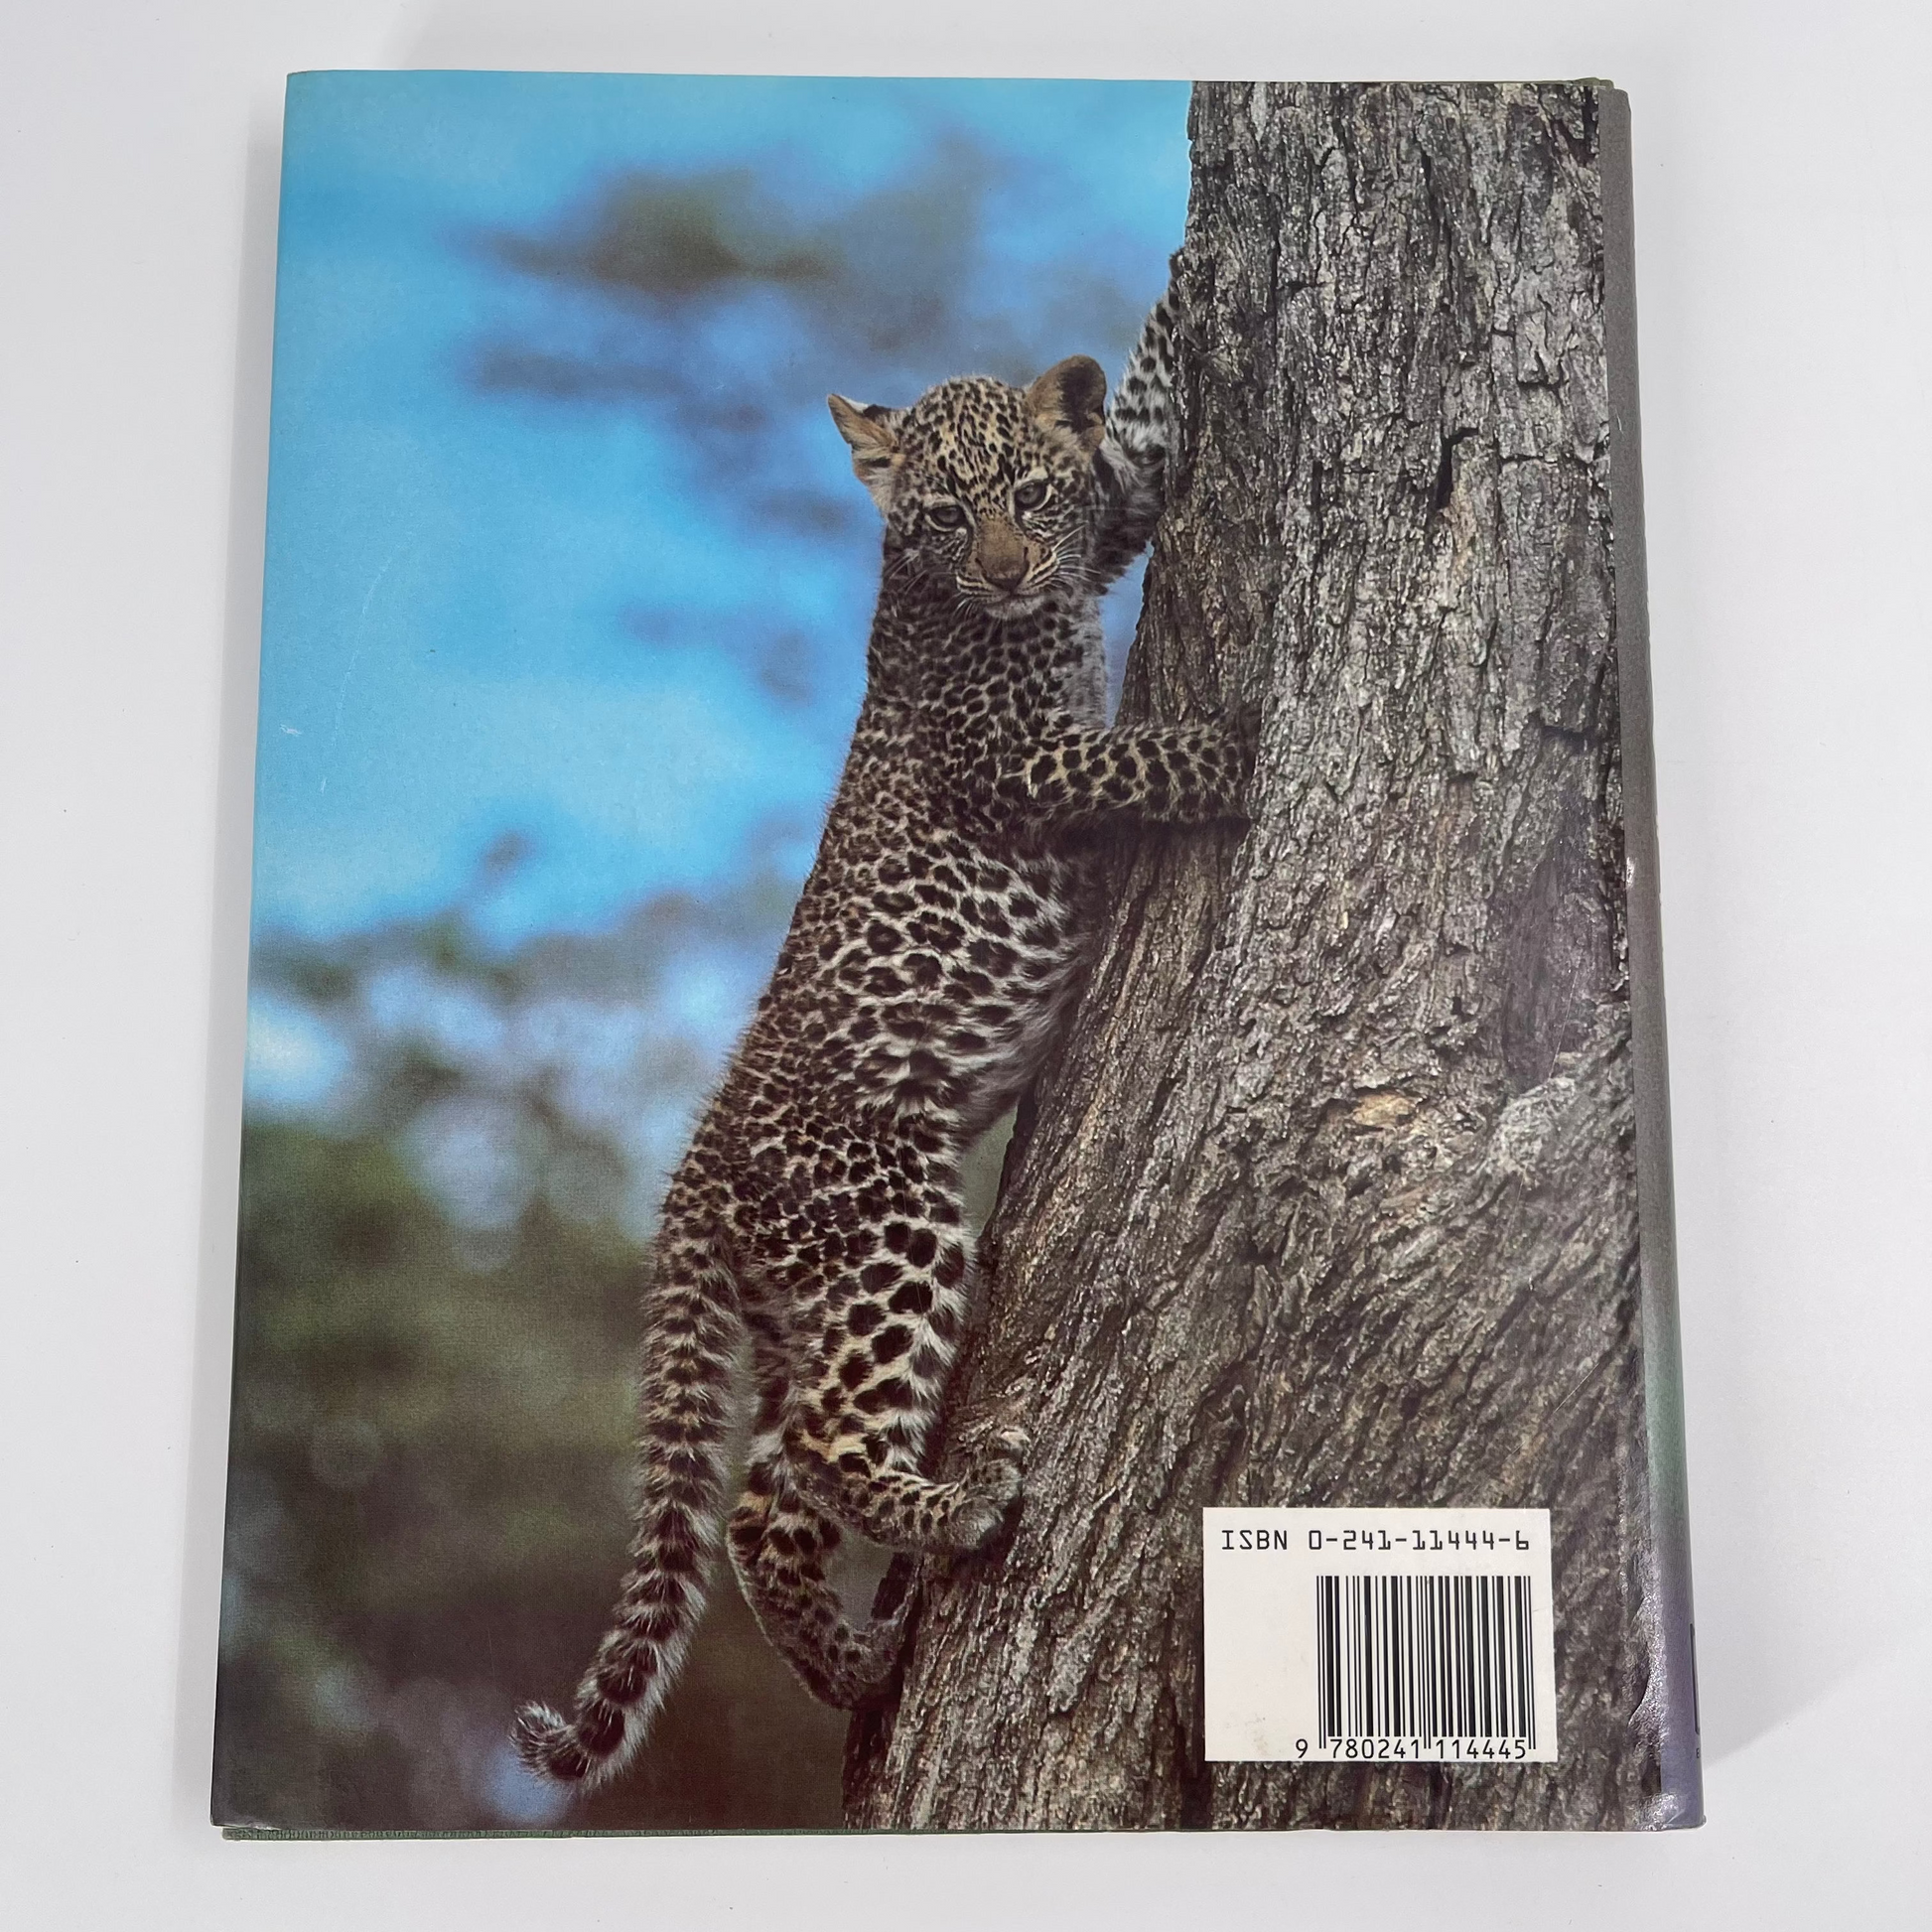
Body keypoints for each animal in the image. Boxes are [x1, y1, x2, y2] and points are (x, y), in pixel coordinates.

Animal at [512, 292, 1249, 1789]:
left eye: (1023, 495)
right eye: (944, 514)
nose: (1010, 571)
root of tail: (692, 1171)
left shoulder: (1105, 528)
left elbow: (1136, 442)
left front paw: (1167, 311)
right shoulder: (1023, 761)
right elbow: (1135, 757)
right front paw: (1228, 749)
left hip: (805, 1305)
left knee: (763, 1502)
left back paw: (855, 1659)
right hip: (886, 1221)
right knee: (821, 1441)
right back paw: (961, 1512)